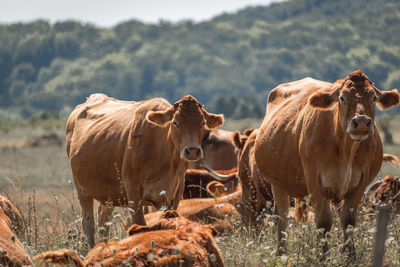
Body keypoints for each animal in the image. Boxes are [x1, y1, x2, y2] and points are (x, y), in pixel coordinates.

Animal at [64, 93, 223, 247]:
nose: (192, 151)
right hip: (82, 189)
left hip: (108, 194)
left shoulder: (173, 196)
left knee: (104, 221)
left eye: (202, 123)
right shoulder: (134, 196)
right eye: (175, 122)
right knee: (88, 223)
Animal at [255, 70, 398, 254]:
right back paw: (281, 252)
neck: (345, 151)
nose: (361, 122)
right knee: (282, 218)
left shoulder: (360, 183)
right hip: (278, 184)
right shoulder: (314, 181)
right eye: (342, 98)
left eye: (373, 97)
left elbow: (348, 222)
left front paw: (350, 255)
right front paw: (322, 255)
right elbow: (323, 222)